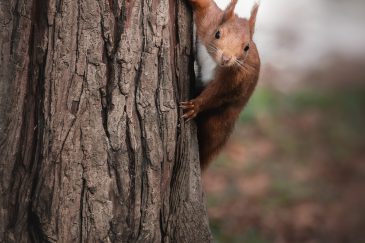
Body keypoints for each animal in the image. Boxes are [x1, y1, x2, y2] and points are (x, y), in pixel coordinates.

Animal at [181, 0, 260, 171]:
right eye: (217, 34)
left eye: (247, 47)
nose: (226, 58)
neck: (213, 59)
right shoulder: (209, 21)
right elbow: (205, 5)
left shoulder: (234, 79)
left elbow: (216, 94)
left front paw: (194, 106)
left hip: (217, 122)